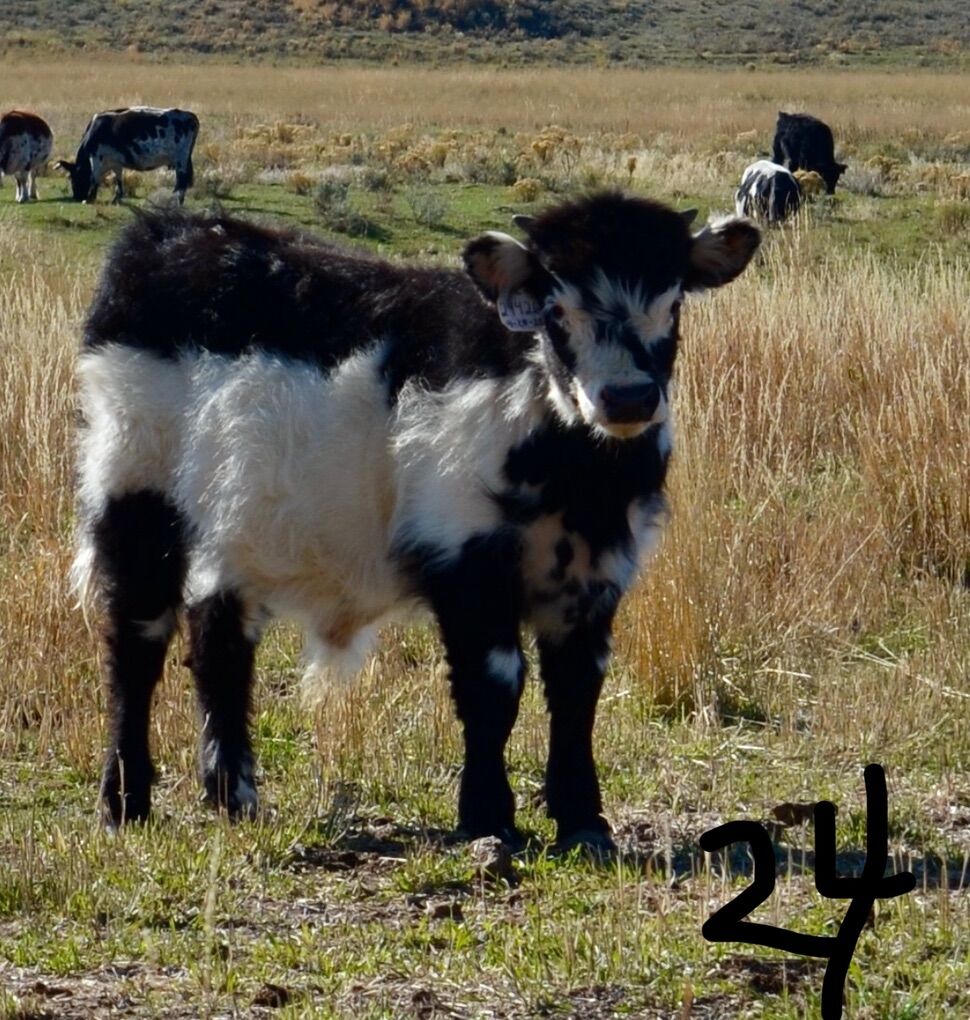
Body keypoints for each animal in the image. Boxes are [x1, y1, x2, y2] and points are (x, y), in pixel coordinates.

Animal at [55, 107, 198, 204]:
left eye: (72, 178)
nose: (77, 197)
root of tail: (190, 115)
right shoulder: (116, 162)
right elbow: (118, 179)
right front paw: (116, 198)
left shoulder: (96, 157)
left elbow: (95, 178)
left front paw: (90, 198)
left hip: (181, 161)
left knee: (181, 184)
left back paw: (175, 202)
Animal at [73, 193, 760, 850]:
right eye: (555, 312)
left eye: (672, 304)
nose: (628, 398)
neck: (577, 473)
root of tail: (167, 235)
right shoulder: (466, 556)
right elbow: (494, 684)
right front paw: (488, 818)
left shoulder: (597, 572)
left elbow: (575, 690)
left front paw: (583, 820)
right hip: (133, 489)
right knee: (135, 642)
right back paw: (124, 803)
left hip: (234, 527)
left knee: (219, 640)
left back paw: (232, 796)